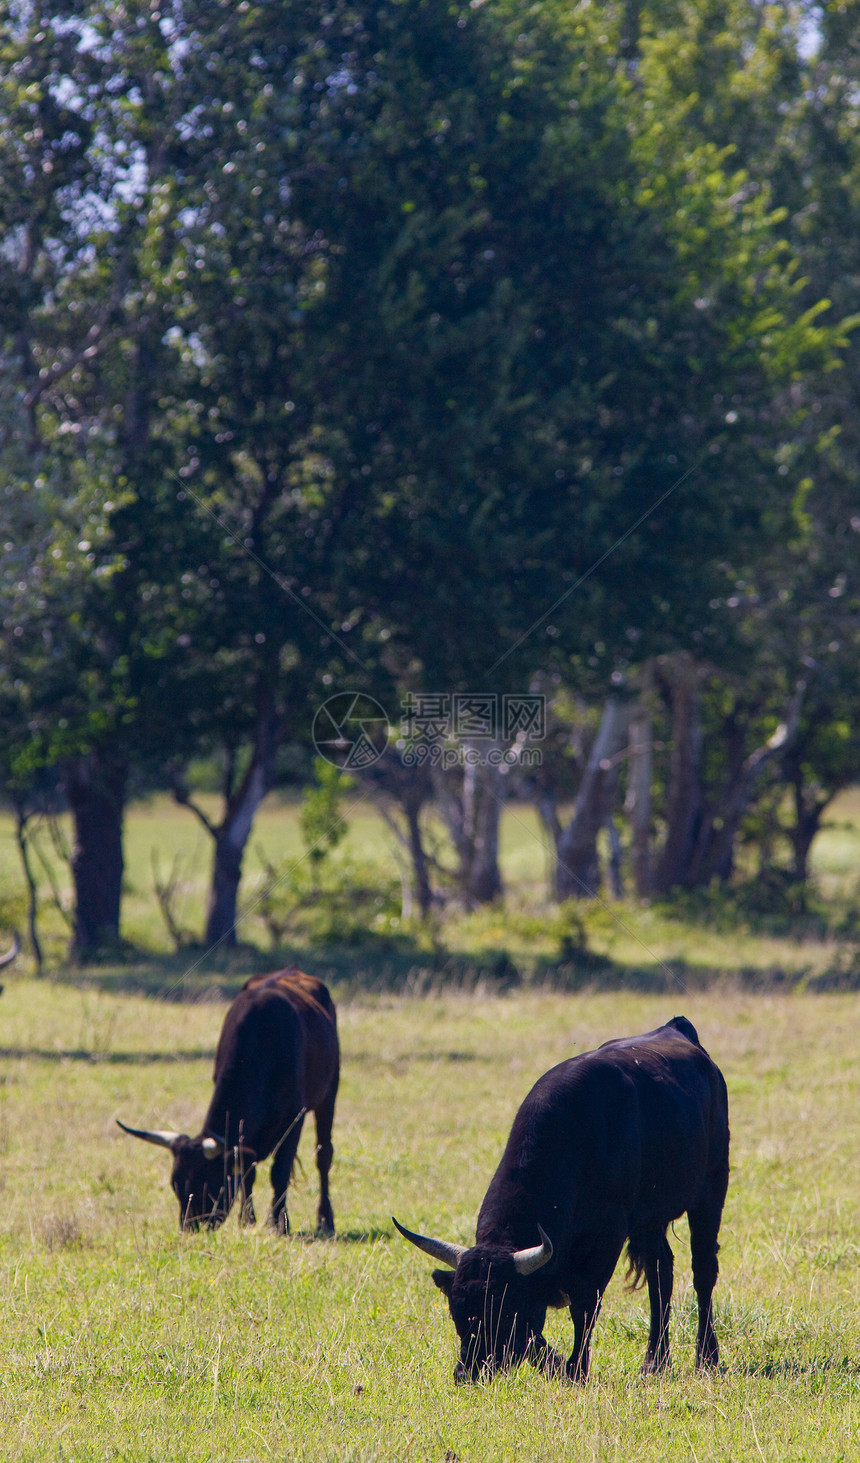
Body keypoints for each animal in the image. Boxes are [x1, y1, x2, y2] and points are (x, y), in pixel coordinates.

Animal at [117, 971, 339, 1234]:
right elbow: (246, 1172)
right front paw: (248, 1220)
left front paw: (279, 1224)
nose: (189, 1228)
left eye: (210, 1183)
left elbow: (280, 1172)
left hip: (329, 1093)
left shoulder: (295, 1118)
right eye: (175, 1184)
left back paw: (325, 1220)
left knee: (323, 1156)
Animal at [394, 1018, 725, 1381]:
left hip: (710, 1191)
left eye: (505, 1311)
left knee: (703, 1270)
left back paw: (706, 1358)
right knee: (660, 1272)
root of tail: (678, 1029)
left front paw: (576, 1369)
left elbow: (585, 1305)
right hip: (651, 1218)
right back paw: (654, 1362)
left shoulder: (607, 1237)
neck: (576, 1137)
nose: (469, 1371)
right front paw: (553, 1361)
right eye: (458, 1311)